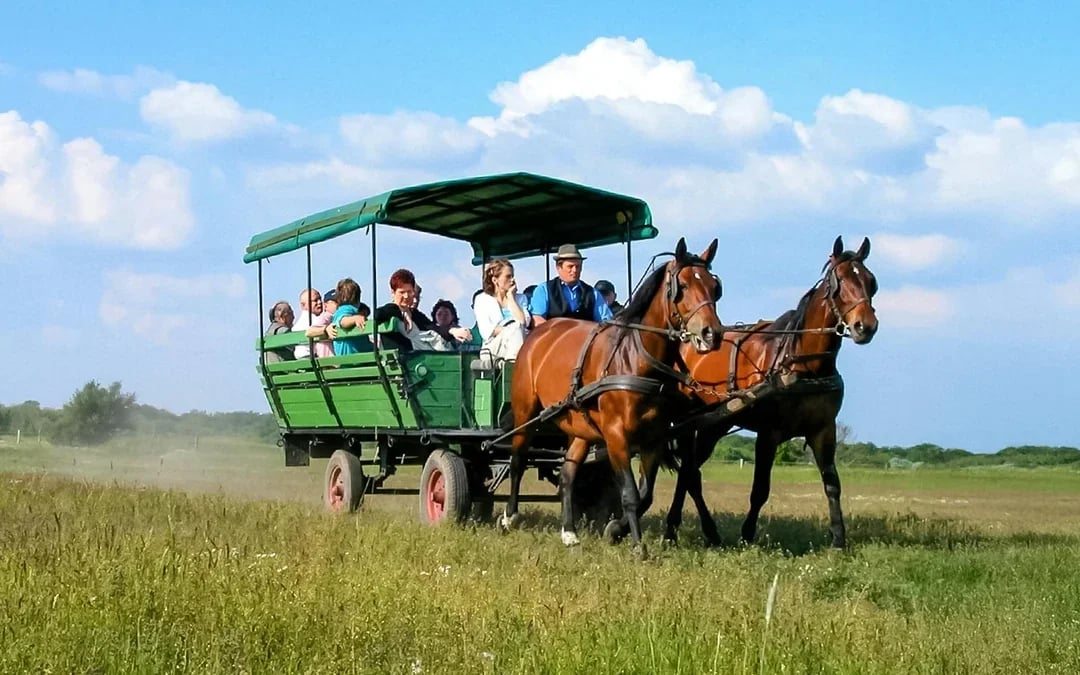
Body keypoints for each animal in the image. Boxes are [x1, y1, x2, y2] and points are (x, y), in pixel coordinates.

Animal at [499, 238, 723, 551]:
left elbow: (645, 495)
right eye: (683, 285)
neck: (636, 359)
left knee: (568, 474)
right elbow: (629, 493)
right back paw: (510, 517)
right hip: (524, 412)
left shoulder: (654, 439)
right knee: (518, 460)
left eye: (715, 287)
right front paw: (637, 546)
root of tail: (539, 334)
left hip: (580, 427)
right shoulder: (616, 436)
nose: (711, 333)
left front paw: (616, 529)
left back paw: (569, 531)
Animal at [666, 236, 878, 549]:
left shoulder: (823, 430)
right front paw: (747, 534)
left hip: (714, 425)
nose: (866, 326)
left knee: (688, 472)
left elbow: (832, 484)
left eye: (870, 281)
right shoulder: (768, 433)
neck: (804, 363)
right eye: (838, 282)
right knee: (689, 472)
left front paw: (838, 538)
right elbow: (760, 489)